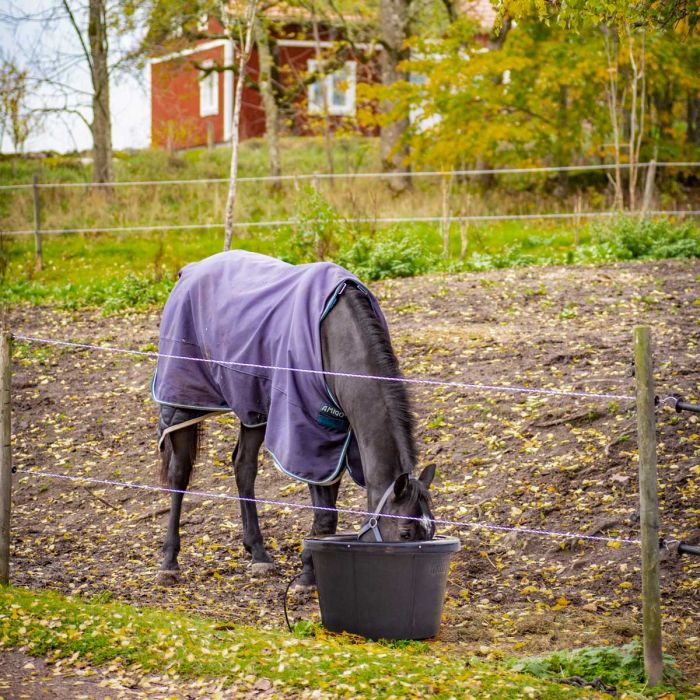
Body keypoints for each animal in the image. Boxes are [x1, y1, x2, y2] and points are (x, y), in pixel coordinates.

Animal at [154, 252, 434, 584]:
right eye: (405, 533)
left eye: (430, 532)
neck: (336, 340)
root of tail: (190, 270)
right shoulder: (310, 437)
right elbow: (326, 515)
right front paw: (307, 577)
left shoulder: (337, 440)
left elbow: (327, 510)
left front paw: (310, 569)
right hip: (184, 399)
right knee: (180, 473)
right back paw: (169, 561)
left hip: (253, 407)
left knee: (243, 467)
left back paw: (258, 554)